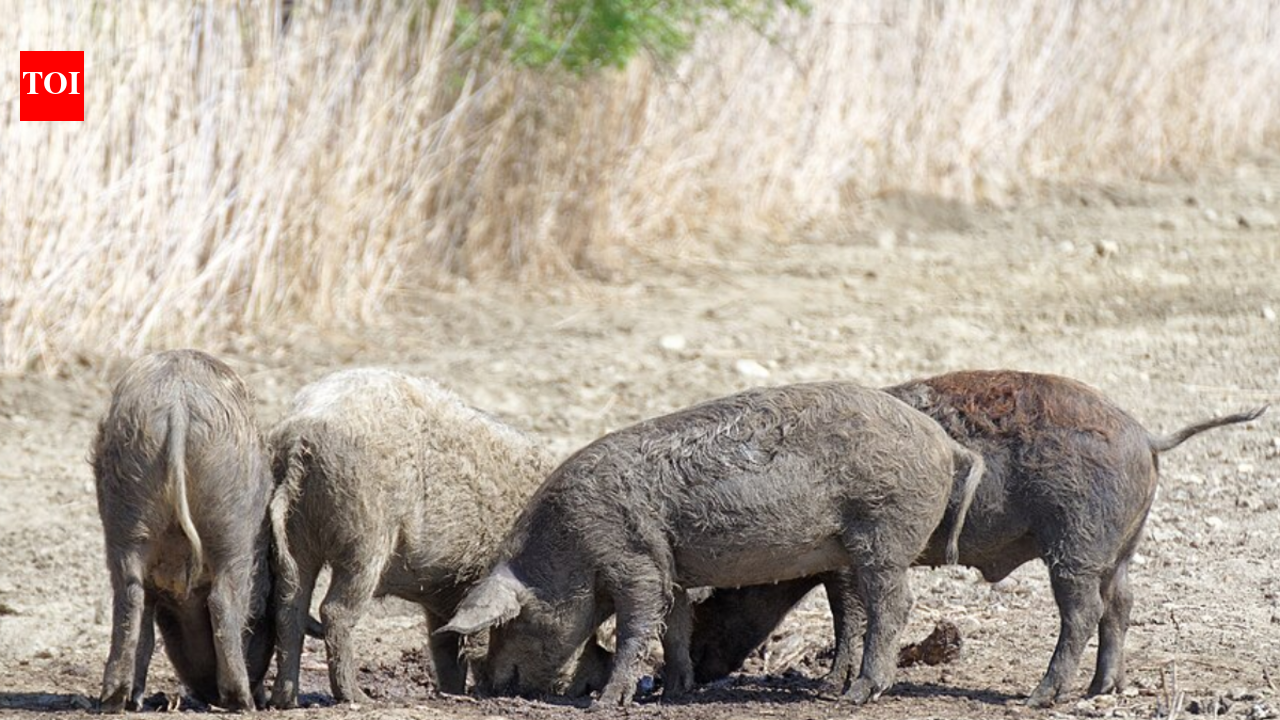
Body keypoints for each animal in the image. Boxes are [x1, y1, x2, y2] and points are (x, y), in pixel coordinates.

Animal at [92, 350, 274, 712]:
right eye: (261, 618)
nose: (204, 692)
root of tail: (177, 405)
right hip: (231, 524)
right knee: (223, 599)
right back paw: (241, 702)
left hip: (126, 516)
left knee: (129, 599)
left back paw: (116, 701)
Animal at [267, 369, 578, 708]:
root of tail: (300, 436)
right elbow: (474, 640)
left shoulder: (445, 595)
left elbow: (445, 643)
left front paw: (453, 693)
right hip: (367, 537)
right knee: (334, 611)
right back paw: (357, 697)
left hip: (298, 538)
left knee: (289, 608)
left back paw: (284, 701)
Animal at [438, 381, 985, 706]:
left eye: (513, 622)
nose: (484, 686)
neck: (567, 545)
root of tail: (944, 442)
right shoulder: (673, 567)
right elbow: (674, 627)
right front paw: (671, 692)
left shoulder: (634, 560)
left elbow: (638, 625)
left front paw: (606, 704)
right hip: (852, 548)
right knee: (853, 610)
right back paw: (830, 690)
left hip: (884, 533)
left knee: (894, 605)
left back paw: (858, 697)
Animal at [688, 370, 1268, 707]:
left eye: (713, 600)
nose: (694, 673)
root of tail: (1147, 436)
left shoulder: (846, 563)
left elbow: (848, 616)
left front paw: (831, 690)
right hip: (1120, 549)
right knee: (1121, 604)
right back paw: (1101, 690)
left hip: (1076, 544)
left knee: (1083, 611)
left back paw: (1037, 699)